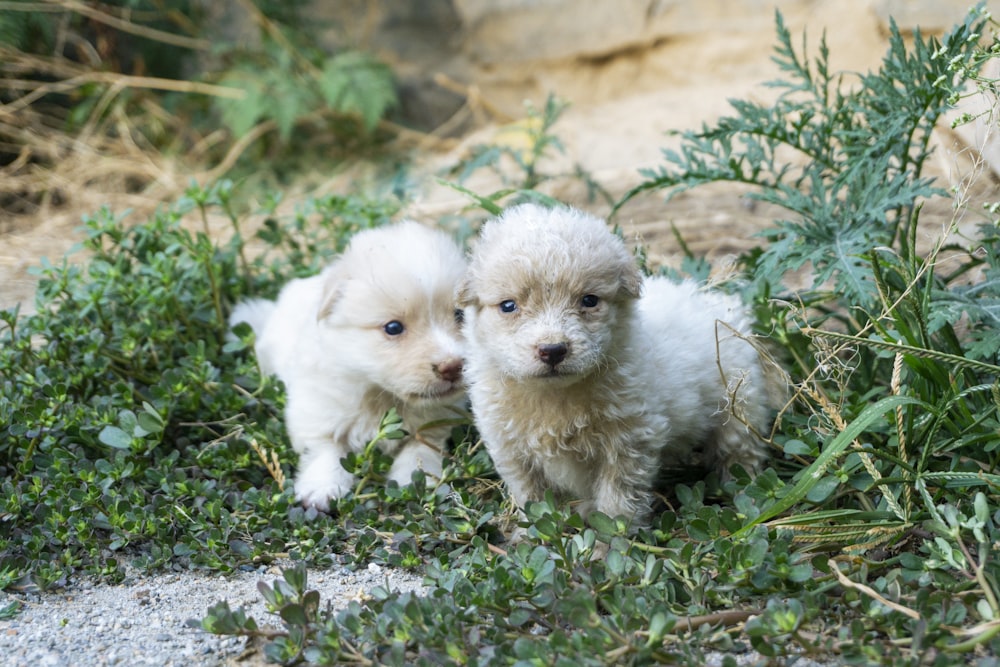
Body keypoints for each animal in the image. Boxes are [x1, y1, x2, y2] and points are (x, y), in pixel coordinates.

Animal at [231, 222, 468, 508]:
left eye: (459, 315)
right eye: (393, 328)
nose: (453, 366)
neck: (379, 394)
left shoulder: (436, 420)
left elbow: (420, 447)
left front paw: (413, 480)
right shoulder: (317, 411)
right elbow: (327, 449)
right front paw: (321, 489)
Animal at [460, 202, 772, 528]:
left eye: (589, 300)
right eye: (508, 306)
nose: (553, 350)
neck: (555, 396)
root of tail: (722, 306)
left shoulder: (628, 441)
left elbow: (618, 498)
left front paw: (611, 536)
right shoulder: (510, 447)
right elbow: (533, 497)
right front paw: (532, 531)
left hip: (739, 408)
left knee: (739, 453)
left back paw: (743, 495)